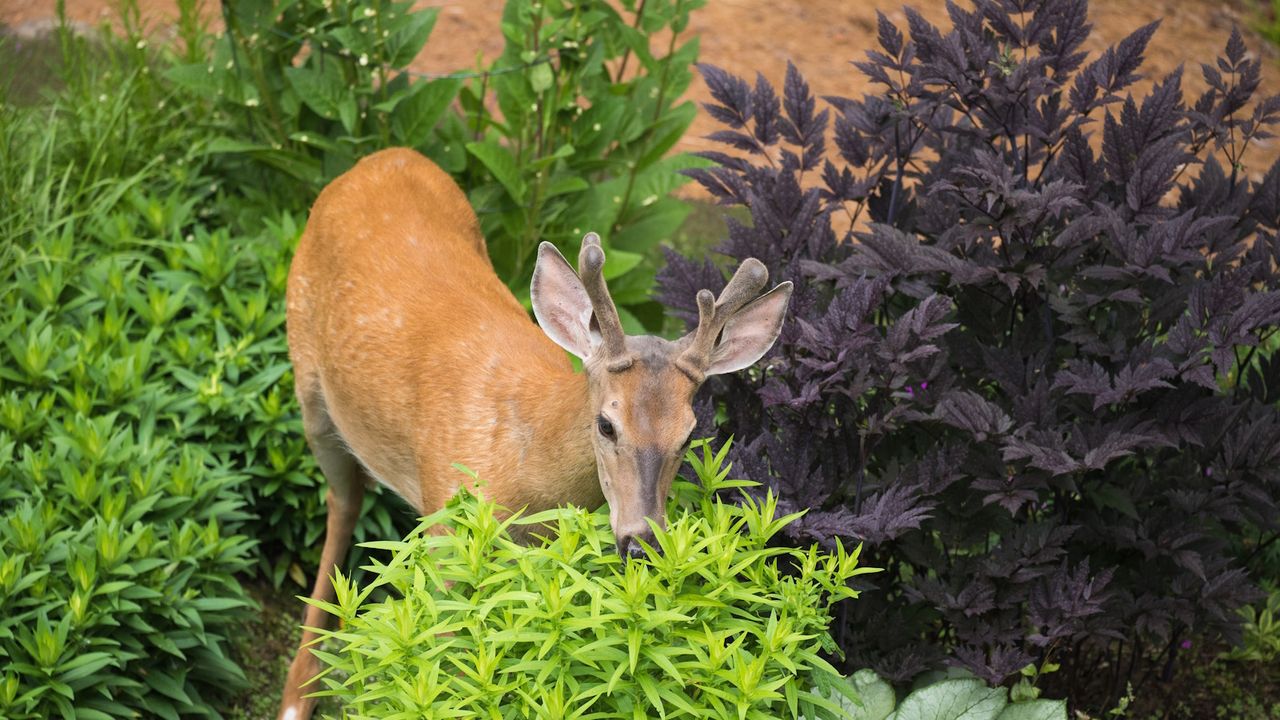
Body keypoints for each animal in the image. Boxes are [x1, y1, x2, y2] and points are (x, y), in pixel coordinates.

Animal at [277, 147, 788, 717]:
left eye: (689, 435)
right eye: (606, 423)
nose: (641, 542)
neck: (523, 462)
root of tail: (386, 155)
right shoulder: (447, 529)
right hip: (308, 377)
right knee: (342, 498)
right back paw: (298, 691)